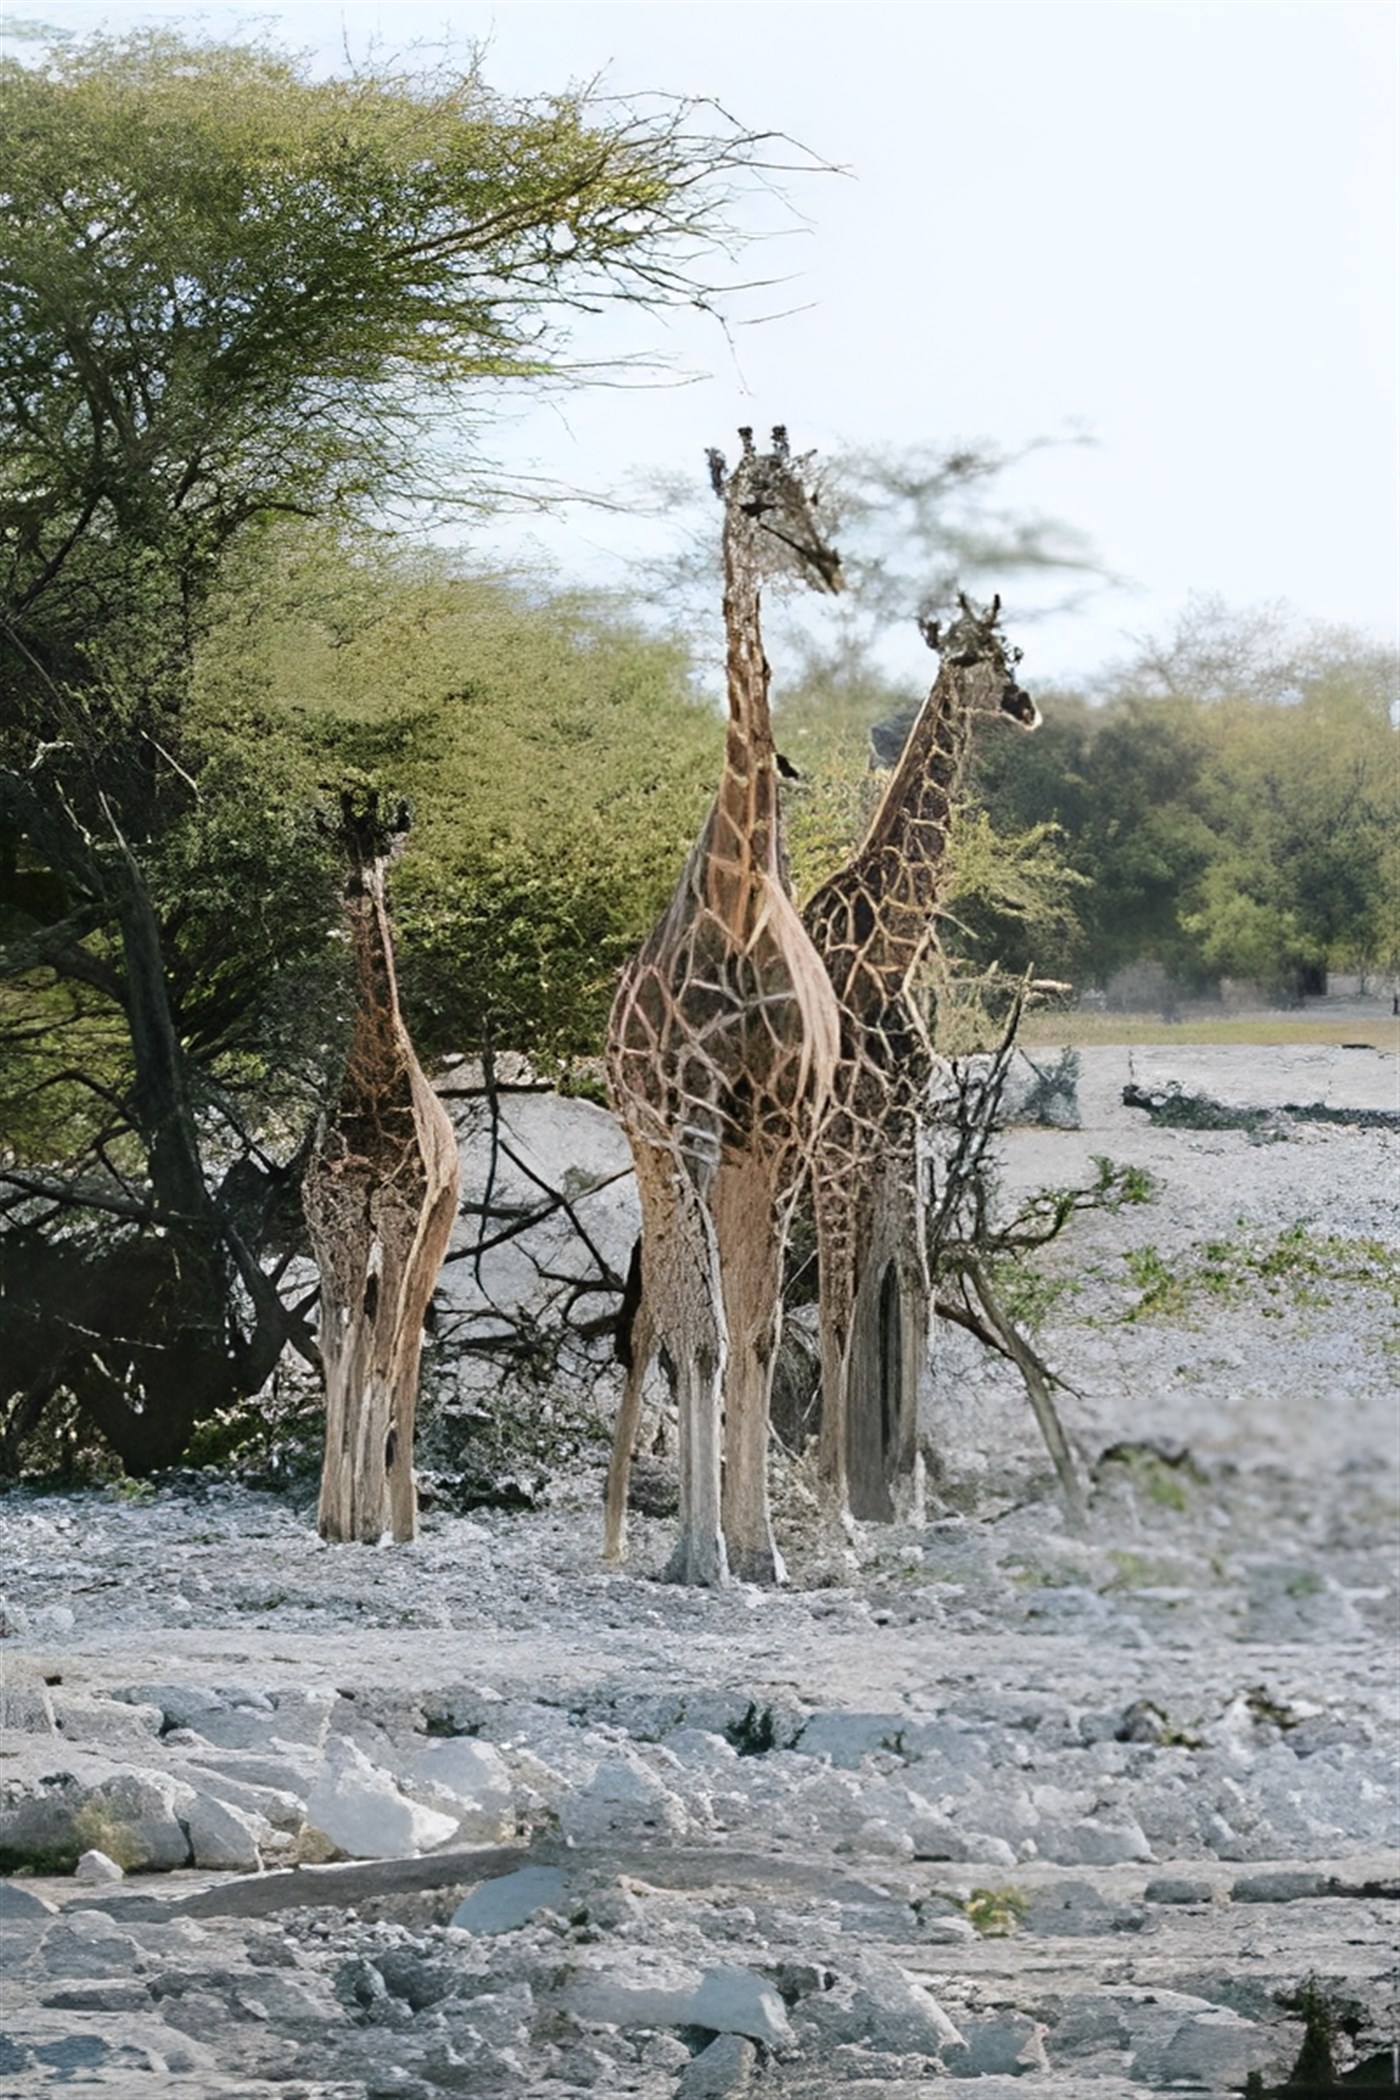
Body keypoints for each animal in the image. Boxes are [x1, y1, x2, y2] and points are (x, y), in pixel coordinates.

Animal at [800, 594, 1039, 1519]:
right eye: (968, 656)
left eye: (1009, 651)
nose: (1025, 705)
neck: (884, 957)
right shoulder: (838, 1142)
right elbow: (838, 1308)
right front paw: (832, 1488)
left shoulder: (896, 1128)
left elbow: (908, 1290)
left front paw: (904, 1488)